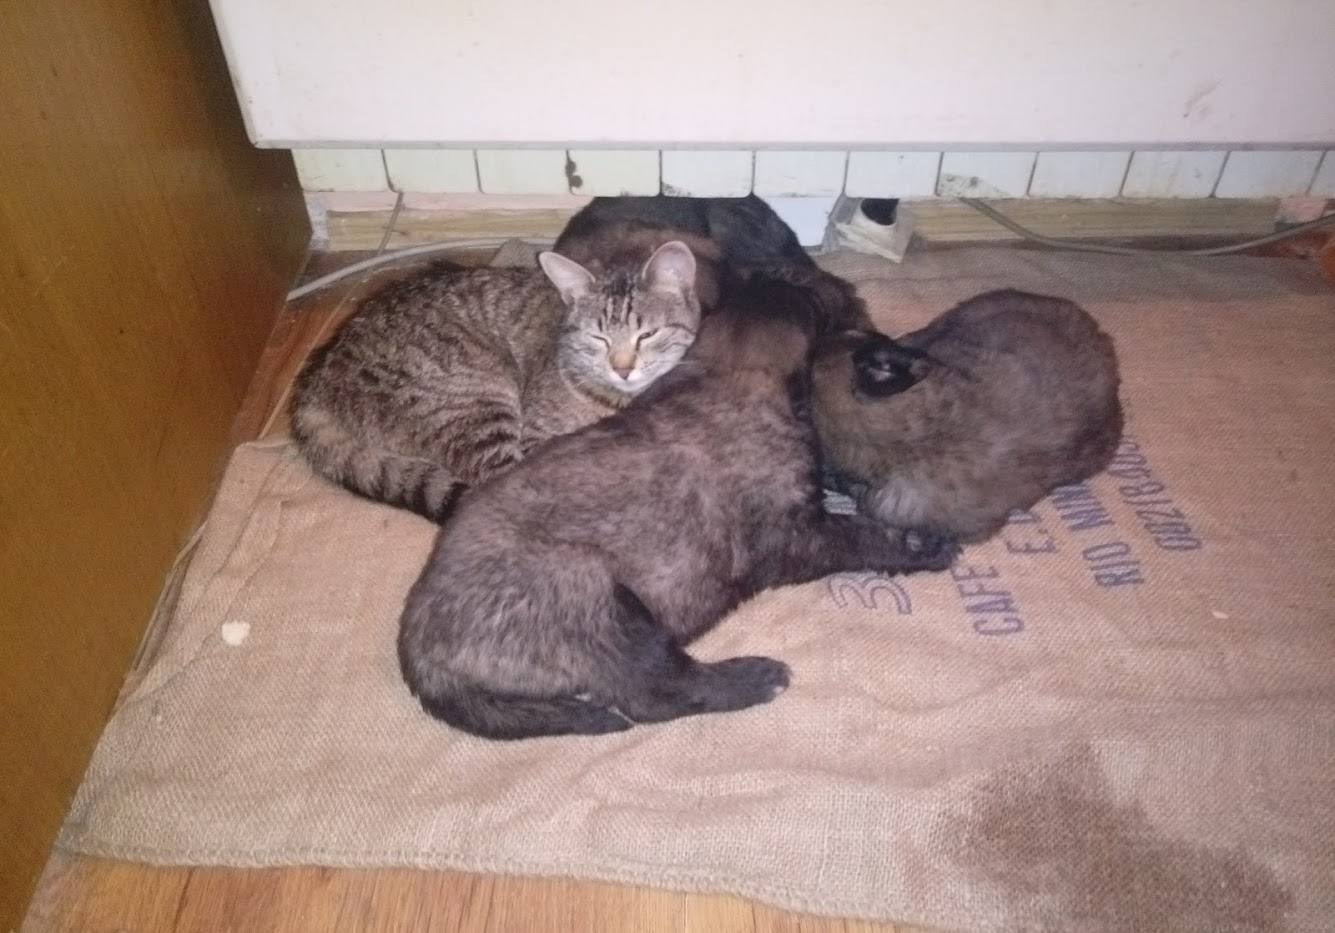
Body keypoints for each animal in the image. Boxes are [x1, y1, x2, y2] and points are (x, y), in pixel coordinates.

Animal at [291, 240, 701, 521]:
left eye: (647, 335)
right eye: (597, 338)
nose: (623, 368)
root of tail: (319, 380)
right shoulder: (537, 435)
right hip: (478, 401)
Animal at [397, 274, 958, 741]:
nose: (895, 343)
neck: (725, 373)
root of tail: (419, 654)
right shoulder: (797, 533)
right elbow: (861, 535)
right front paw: (923, 545)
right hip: (600, 601)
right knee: (655, 694)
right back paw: (753, 678)